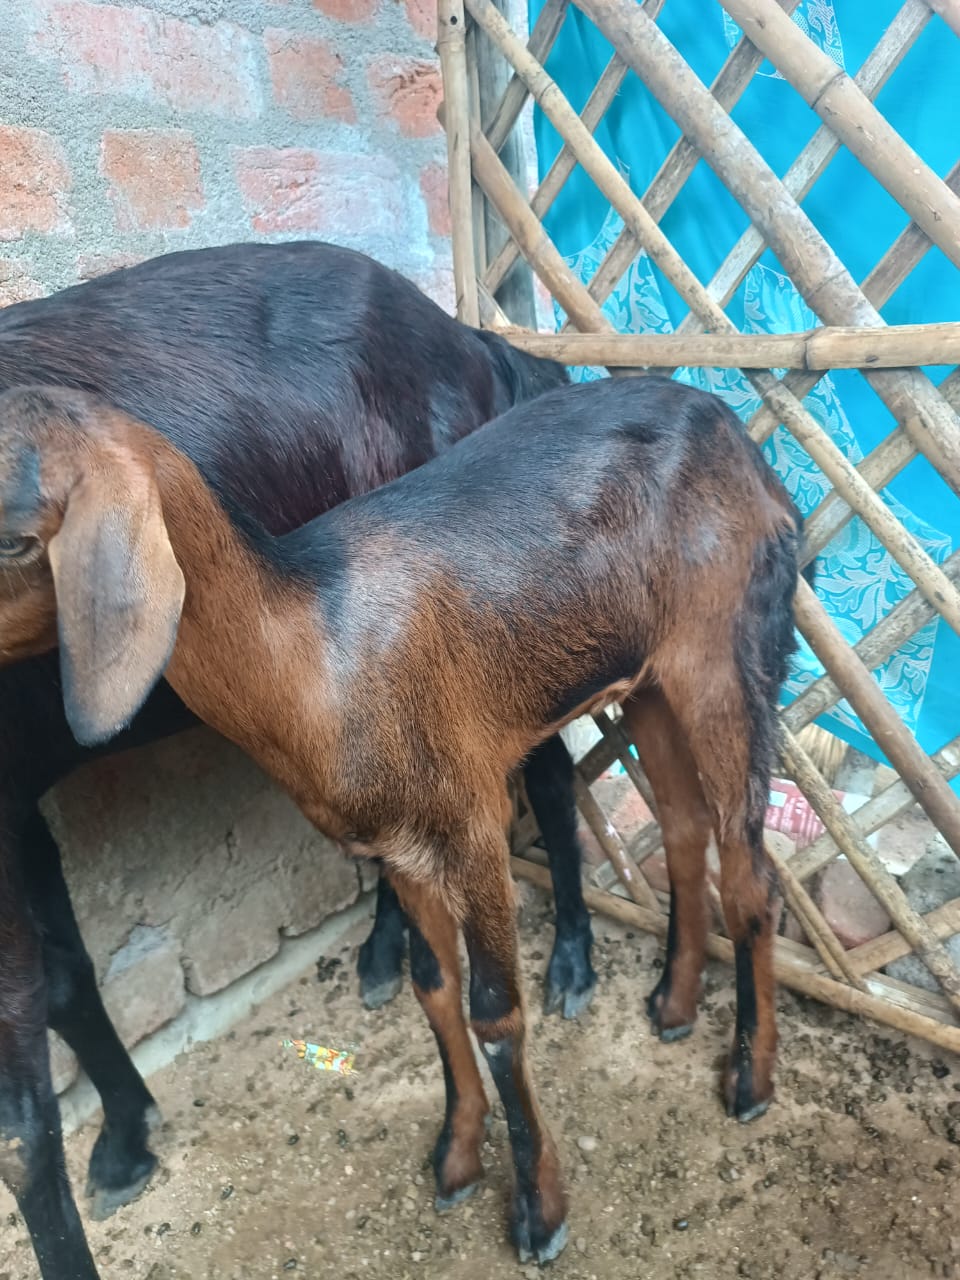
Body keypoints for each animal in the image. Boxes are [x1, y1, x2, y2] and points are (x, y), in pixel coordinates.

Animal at [0, 240, 594, 1280]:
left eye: (14, 539)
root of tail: (472, 340)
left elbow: (23, 1122)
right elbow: (71, 978)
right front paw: (127, 1134)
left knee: (552, 776)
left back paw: (570, 960)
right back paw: (388, 951)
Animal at [0, 374, 804, 1265]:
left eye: (15, 539)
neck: (311, 649)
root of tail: (738, 436)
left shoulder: (473, 820)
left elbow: (494, 1011)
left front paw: (539, 1213)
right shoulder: (401, 847)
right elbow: (432, 988)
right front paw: (455, 1158)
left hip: (726, 649)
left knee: (752, 872)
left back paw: (749, 1080)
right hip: (650, 675)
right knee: (685, 825)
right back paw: (672, 1005)